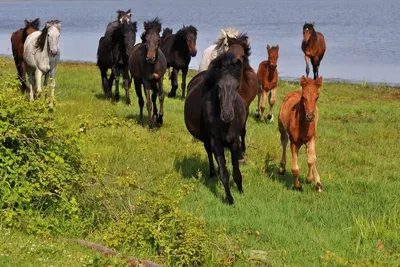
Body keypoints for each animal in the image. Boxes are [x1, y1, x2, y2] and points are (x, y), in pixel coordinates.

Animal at [185, 52, 247, 207]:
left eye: (237, 86)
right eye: (218, 86)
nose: (227, 114)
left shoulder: (234, 141)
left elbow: (236, 170)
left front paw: (240, 190)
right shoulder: (216, 142)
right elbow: (225, 174)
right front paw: (229, 199)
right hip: (207, 139)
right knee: (209, 153)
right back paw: (213, 173)